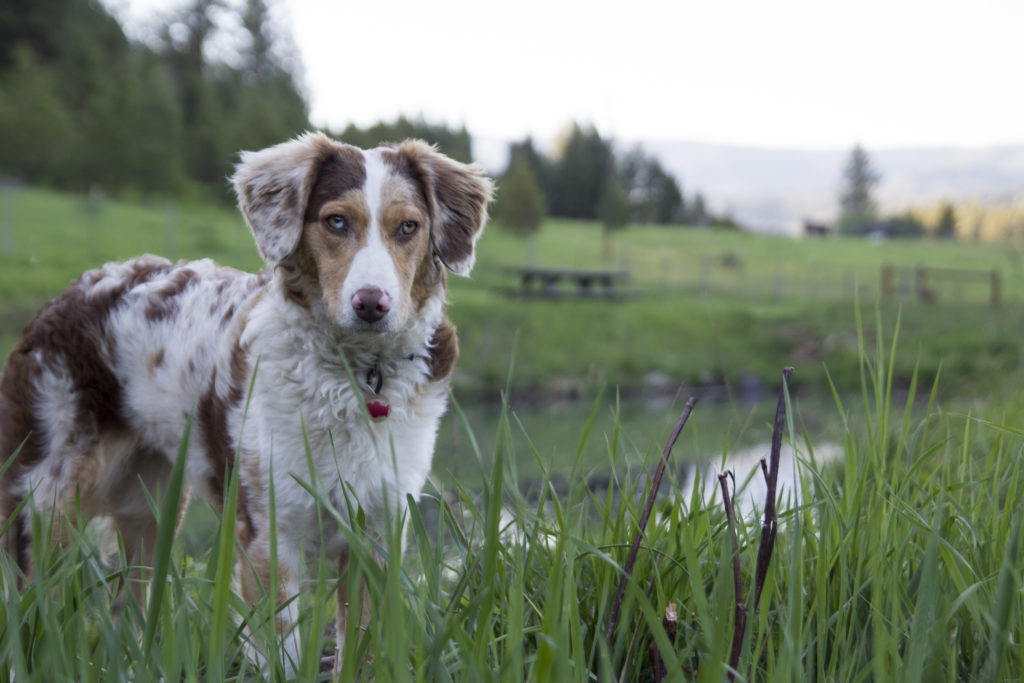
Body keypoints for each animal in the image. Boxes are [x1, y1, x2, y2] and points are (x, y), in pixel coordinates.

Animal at [0, 132, 495, 671]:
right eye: (336, 221)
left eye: (408, 227)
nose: (371, 303)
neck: (355, 377)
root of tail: (71, 293)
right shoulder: (270, 537)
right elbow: (283, 655)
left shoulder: (378, 534)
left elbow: (361, 651)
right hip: (46, 503)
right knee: (29, 613)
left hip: (151, 509)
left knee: (129, 611)